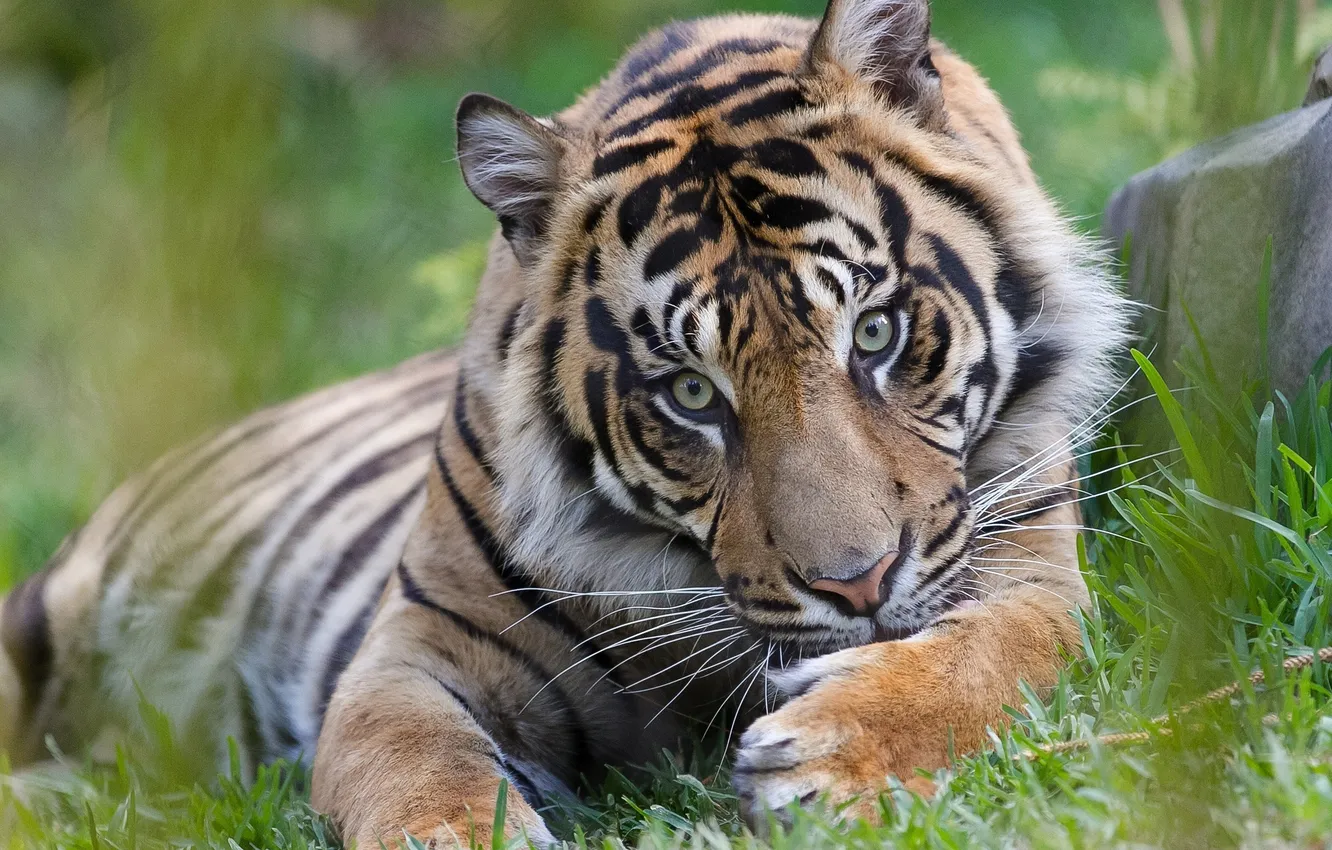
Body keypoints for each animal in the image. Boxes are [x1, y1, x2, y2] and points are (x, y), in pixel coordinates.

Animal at [0, 0, 1130, 844]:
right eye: (690, 393)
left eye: (878, 332)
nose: (856, 586)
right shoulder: (414, 645)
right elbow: (408, 759)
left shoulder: (1028, 567)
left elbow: (994, 654)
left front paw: (827, 759)